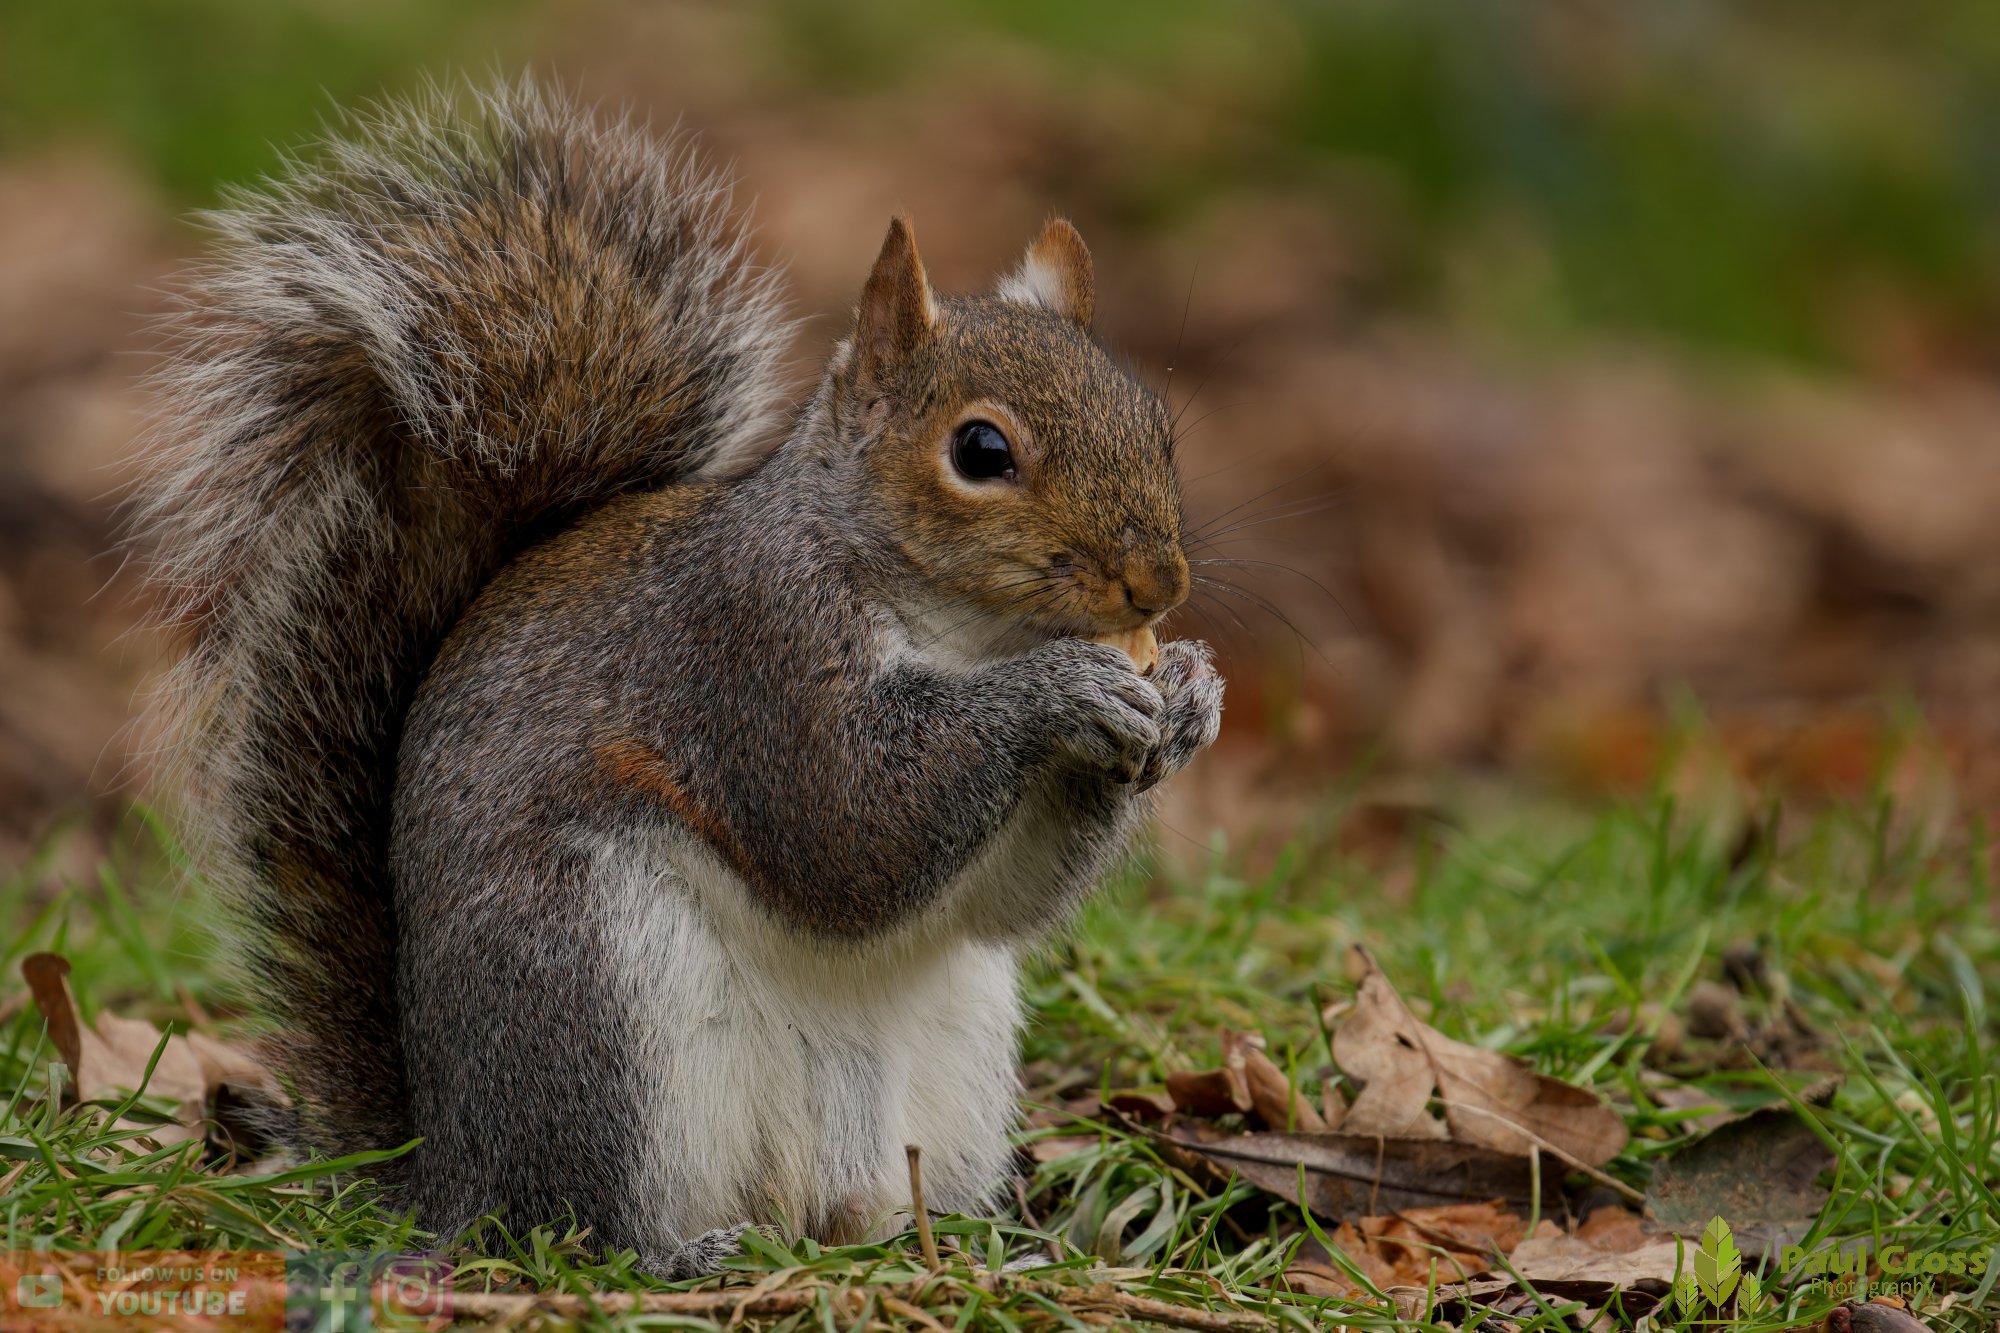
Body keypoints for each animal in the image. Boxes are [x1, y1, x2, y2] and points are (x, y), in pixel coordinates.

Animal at [133, 81, 1222, 1276]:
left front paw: (1189, 694)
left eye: (1157, 427)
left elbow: (1001, 902)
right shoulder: (751, 654)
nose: (1158, 582)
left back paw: (967, 1246)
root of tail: (447, 1178)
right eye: (981, 451)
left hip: (958, 1054)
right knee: (570, 1224)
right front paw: (1061, 691)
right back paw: (680, 1255)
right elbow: (847, 832)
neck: (970, 630)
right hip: (595, 999)